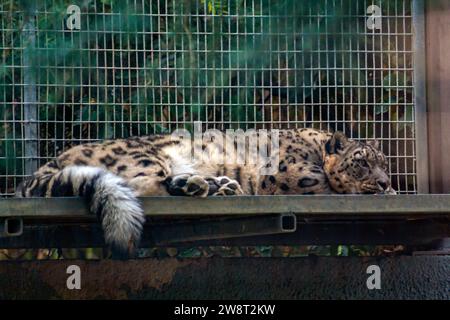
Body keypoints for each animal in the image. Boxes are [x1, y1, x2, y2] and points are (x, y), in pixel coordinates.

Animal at [14, 127, 394, 255]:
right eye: (361, 162)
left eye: (385, 163)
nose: (386, 182)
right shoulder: (297, 176)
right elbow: (326, 185)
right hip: (144, 157)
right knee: (144, 186)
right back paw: (208, 186)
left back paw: (216, 186)